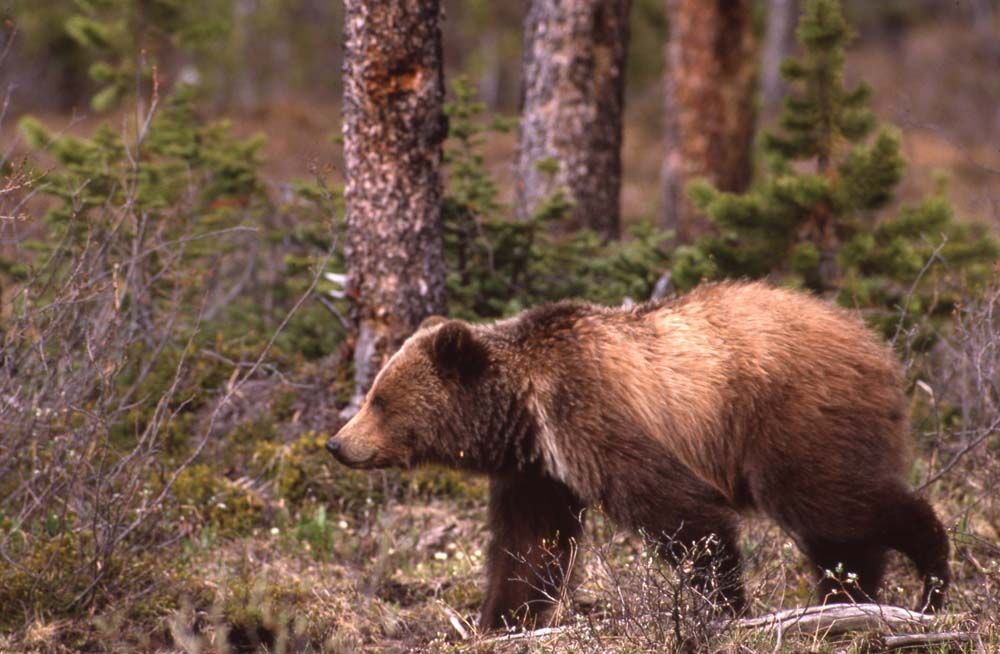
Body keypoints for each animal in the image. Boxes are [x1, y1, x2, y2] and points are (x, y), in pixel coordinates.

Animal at [325, 281, 950, 630]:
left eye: (379, 399)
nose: (337, 442)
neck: (524, 410)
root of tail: (877, 346)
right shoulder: (538, 470)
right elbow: (530, 548)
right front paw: (499, 621)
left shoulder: (592, 414)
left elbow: (681, 514)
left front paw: (723, 609)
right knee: (836, 535)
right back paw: (846, 599)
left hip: (794, 419)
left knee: (835, 504)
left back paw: (929, 583)